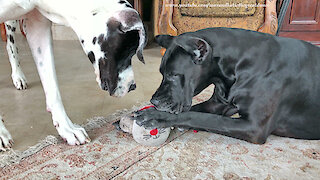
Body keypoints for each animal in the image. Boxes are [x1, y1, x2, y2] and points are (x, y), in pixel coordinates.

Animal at [0, 0, 146, 150]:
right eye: (127, 51)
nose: (132, 86)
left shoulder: (38, 27)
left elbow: (53, 88)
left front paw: (67, 129)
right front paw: (2, 134)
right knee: (10, 45)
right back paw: (18, 76)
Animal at [134, 27, 320, 143]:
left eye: (173, 75)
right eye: (161, 72)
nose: (154, 101)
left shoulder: (254, 127)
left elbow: (201, 117)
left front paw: (155, 116)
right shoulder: (219, 104)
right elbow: (196, 111)